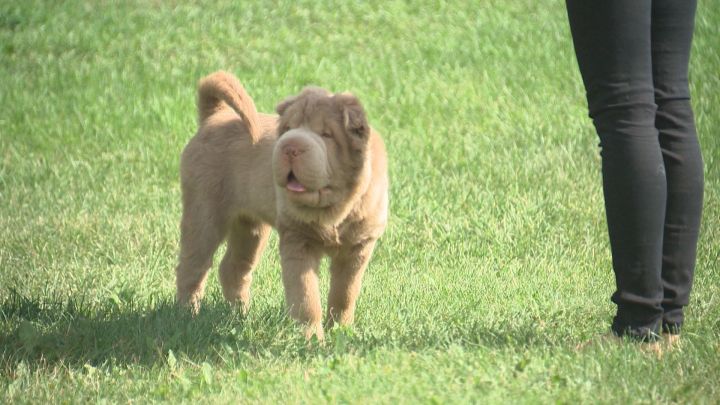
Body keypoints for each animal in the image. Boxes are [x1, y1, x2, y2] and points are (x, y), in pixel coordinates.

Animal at [175, 70, 388, 338]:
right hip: (204, 214)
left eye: (327, 135)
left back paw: (241, 317)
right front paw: (311, 339)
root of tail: (215, 116)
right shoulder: (298, 241)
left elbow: (345, 294)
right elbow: (307, 298)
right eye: (288, 129)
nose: (290, 147)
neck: (334, 209)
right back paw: (187, 316)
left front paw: (341, 331)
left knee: (233, 268)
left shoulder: (358, 247)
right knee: (192, 266)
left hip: (250, 227)